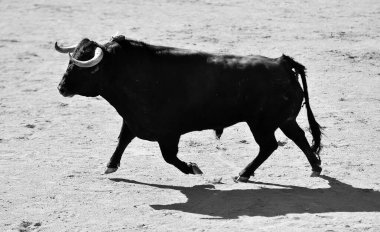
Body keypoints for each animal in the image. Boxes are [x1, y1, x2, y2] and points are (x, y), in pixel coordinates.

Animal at [55, 35, 322, 182]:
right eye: (70, 61)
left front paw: (193, 169)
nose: (61, 88)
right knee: (299, 137)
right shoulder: (133, 120)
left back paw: (243, 173)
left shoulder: (168, 134)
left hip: (262, 124)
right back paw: (315, 167)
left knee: (269, 146)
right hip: (284, 120)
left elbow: (169, 157)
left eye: (88, 68)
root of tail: (282, 63)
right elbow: (123, 140)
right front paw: (110, 166)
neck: (130, 72)